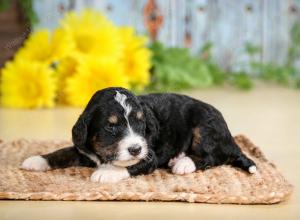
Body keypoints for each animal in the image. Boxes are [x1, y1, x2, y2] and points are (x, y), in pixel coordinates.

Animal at [21, 87, 256, 183]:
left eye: (140, 122)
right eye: (111, 127)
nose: (135, 148)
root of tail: (230, 137)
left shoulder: (150, 154)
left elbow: (130, 165)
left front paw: (106, 173)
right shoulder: (83, 149)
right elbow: (62, 152)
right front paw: (36, 160)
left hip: (205, 126)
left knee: (214, 156)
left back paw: (183, 163)